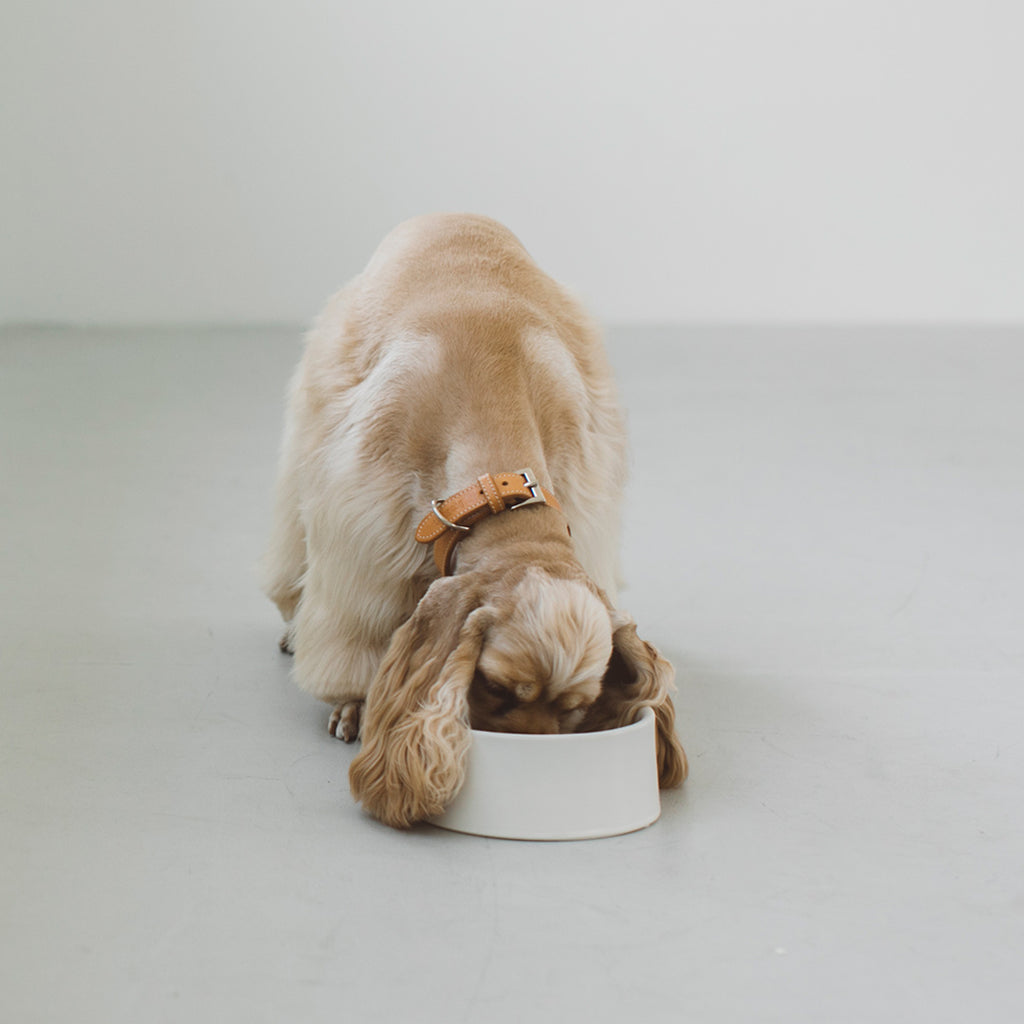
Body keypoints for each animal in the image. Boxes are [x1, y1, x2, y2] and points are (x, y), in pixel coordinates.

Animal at [262, 211, 688, 827]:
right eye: (499, 689)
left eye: (575, 706)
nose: (538, 766)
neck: (498, 487)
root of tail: (450, 214)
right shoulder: (362, 532)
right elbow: (355, 630)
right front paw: (355, 703)